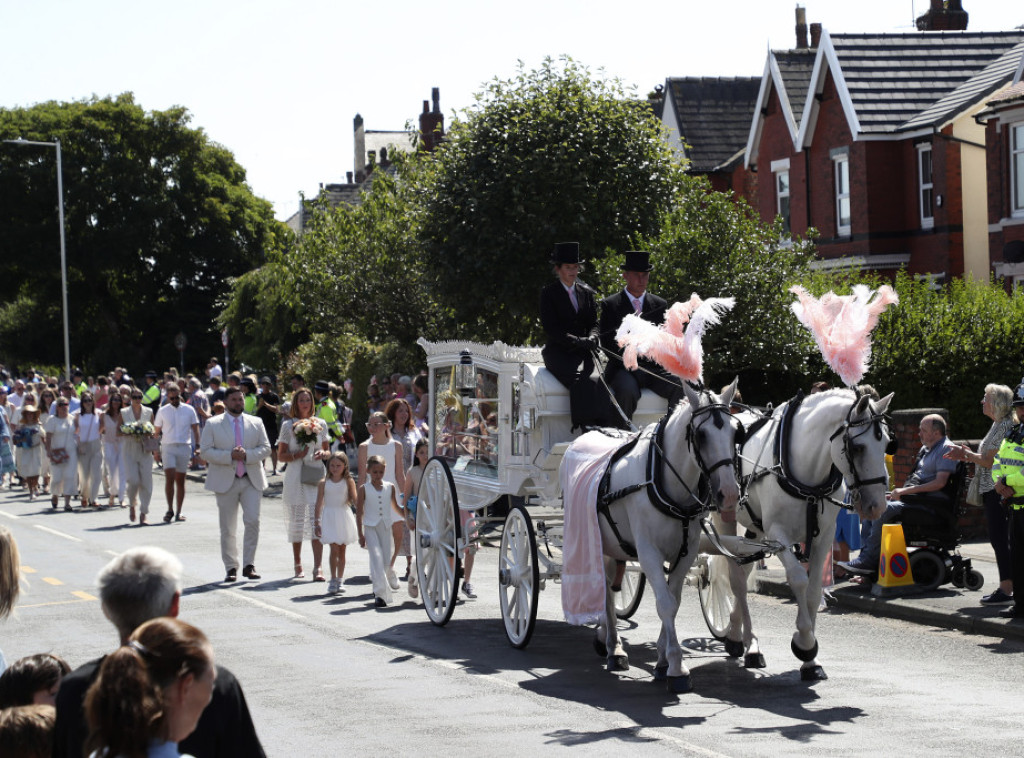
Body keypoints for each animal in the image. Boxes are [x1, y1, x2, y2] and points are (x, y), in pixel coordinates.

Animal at [589, 379, 741, 692]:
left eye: (736, 431)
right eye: (701, 434)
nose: (730, 494)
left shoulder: (686, 552)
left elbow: (673, 600)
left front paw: (662, 661)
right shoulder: (648, 553)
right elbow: (666, 604)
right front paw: (677, 667)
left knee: (611, 586)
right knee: (605, 591)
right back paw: (613, 647)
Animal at [720, 387, 897, 676]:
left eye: (887, 445)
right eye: (857, 447)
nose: (877, 506)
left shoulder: (824, 535)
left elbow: (815, 589)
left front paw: (811, 661)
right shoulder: (777, 535)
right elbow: (799, 580)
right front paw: (804, 642)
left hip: (754, 529)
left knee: (742, 573)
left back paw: (739, 636)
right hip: (724, 519)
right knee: (736, 581)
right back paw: (749, 644)